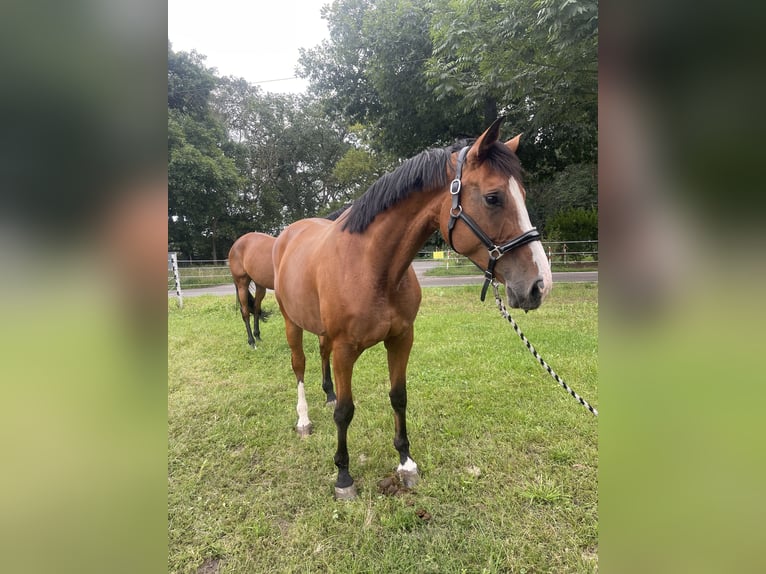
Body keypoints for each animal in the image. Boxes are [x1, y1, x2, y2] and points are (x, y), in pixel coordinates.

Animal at [274, 119, 552, 502]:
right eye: (493, 197)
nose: (540, 284)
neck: (371, 267)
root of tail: (289, 233)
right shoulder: (346, 349)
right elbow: (346, 412)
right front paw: (343, 476)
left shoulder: (401, 339)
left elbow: (398, 397)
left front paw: (406, 463)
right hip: (292, 323)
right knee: (299, 366)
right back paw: (304, 419)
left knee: (321, 354)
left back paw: (327, 394)